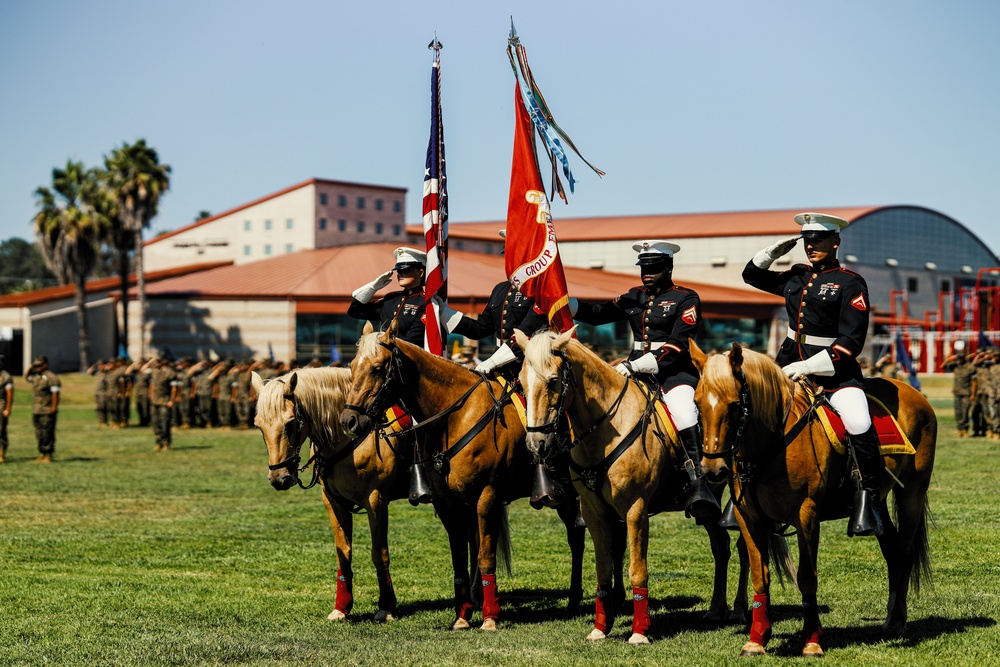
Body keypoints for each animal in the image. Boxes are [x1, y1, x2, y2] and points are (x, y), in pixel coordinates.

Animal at [252, 368, 408, 624]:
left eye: (291, 423)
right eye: (258, 426)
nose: (279, 478)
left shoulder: (376, 499)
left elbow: (379, 553)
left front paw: (386, 607)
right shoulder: (333, 501)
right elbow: (343, 553)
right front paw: (342, 607)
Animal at [338, 324, 584, 632]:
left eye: (377, 369)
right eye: (352, 366)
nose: (348, 421)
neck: (456, 418)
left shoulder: (487, 496)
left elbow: (485, 555)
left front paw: (490, 617)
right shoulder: (448, 503)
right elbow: (460, 556)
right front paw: (463, 615)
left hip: (570, 494)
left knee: (577, 536)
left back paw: (577, 597)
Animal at [516, 328, 756, 648]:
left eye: (554, 380)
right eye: (521, 381)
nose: (536, 444)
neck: (606, 427)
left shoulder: (635, 510)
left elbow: (637, 569)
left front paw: (640, 631)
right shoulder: (594, 513)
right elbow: (603, 568)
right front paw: (600, 627)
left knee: (743, 546)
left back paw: (740, 609)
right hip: (708, 507)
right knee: (721, 546)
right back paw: (717, 608)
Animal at [692, 342, 932, 660]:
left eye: (733, 405)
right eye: (696, 404)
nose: (712, 470)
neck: (771, 444)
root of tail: (914, 392)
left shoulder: (806, 514)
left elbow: (807, 577)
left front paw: (812, 641)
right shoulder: (748, 516)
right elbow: (760, 575)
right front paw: (756, 639)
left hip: (912, 493)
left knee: (903, 551)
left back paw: (897, 621)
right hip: (878, 501)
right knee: (891, 549)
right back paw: (891, 617)